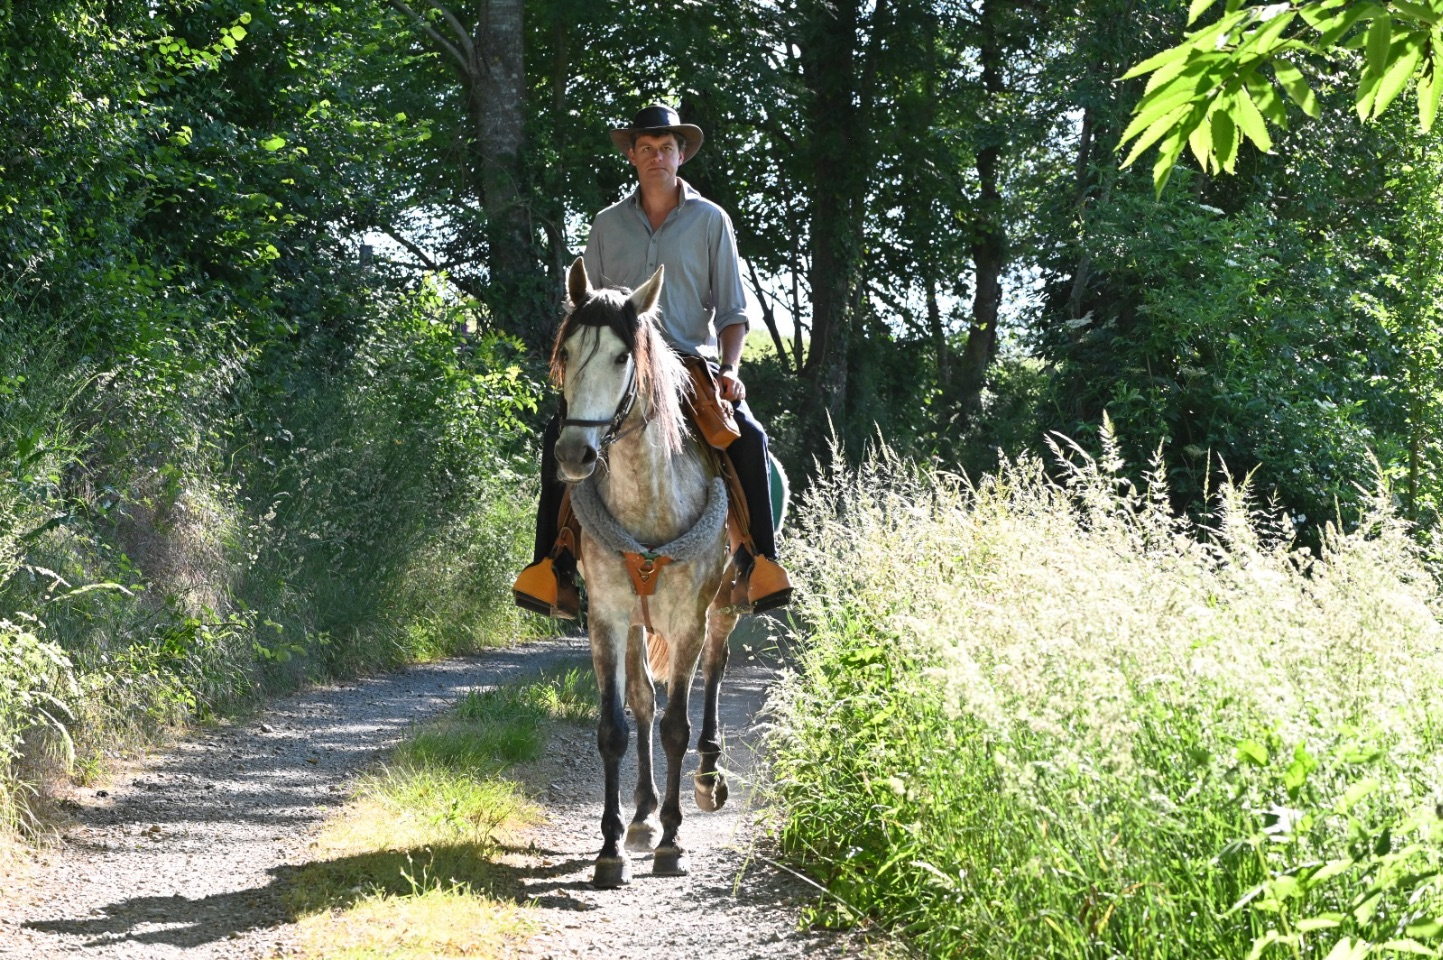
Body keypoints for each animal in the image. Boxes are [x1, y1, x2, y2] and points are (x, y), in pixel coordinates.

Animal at [545, 256, 738, 889]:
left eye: (620, 356)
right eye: (565, 351)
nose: (573, 454)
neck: (650, 503)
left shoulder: (688, 618)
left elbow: (677, 725)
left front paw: (673, 843)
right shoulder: (607, 617)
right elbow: (617, 725)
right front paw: (613, 846)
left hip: (724, 606)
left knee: (713, 672)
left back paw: (707, 778)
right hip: (635, 623)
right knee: (644, 700)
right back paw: (643, 816)